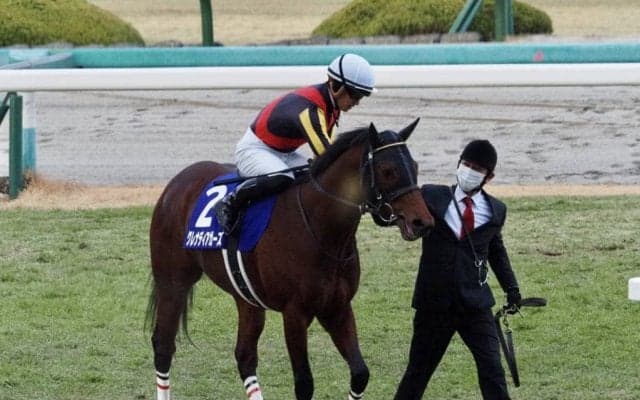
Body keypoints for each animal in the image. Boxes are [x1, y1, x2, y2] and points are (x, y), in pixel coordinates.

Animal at [146, 119, 435, 400]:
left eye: (415, 166)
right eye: (388, 170)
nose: (422, 222)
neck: (320, 228)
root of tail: (178, 181)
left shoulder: (337, 307)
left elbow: (360, 373)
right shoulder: (295, 313)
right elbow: (304, 384)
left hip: (247, 298)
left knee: (244, 356)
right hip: (173, 282)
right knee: (163, 346)